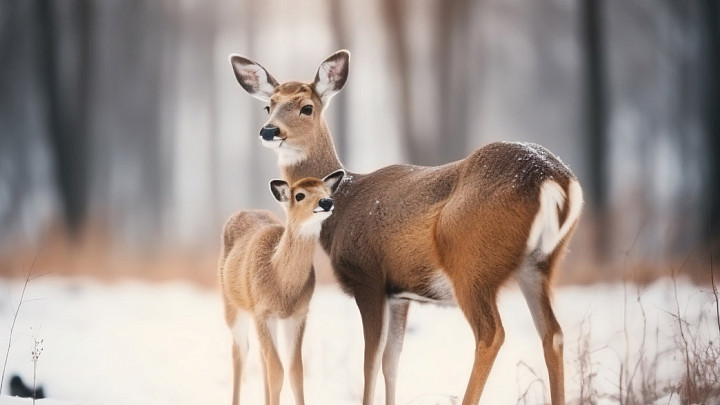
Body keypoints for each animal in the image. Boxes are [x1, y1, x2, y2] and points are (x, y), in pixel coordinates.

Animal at [228, 50, 584, 404]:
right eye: (269, 105)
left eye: (306, 107)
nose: (269, 131)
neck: (345, 198)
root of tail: (554, 179)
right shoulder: (399, 294)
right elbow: (391, 361)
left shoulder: (367, 276)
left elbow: (370, 362)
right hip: (539, 264)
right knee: (553, 334)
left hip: (472, 262)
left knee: (491, 333)